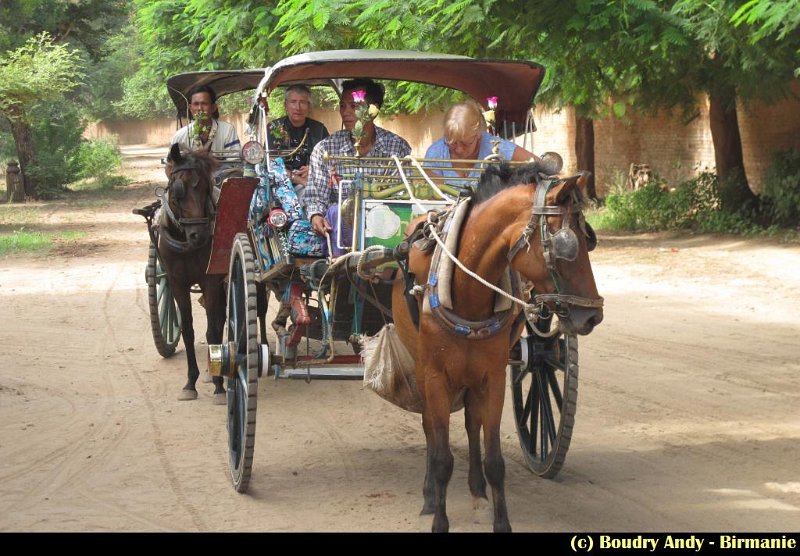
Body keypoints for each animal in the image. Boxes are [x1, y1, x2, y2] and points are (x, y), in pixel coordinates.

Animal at [390, 163, 604, 532]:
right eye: (566, 245)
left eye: (588, 238)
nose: (593, 315)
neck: (466, 293)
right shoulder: (434, 376)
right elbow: (442, 455)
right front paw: (440, 519)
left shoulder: (492, 377)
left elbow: (494, 459)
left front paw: (500, 521)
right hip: (421, 367)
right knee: (430, 427)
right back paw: (430, 495)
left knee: (471, 422)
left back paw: (477, 489)